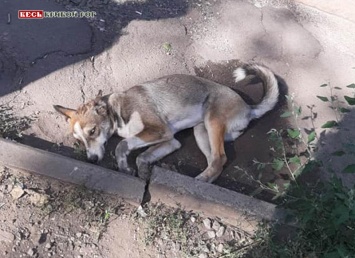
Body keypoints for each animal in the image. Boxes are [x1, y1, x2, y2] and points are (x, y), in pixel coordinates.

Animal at [54, 63, 280, 182]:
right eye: (78, 140)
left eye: (92, 131)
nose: (91, 160)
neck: (118, 110)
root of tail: (249, 108)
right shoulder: (171, 141)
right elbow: (142, 156)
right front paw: (142, 171)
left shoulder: (159, 131)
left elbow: (122, 145)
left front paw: (124, 166)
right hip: (201, 131)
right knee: (217, 162)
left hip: (212, 120)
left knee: (219, 158)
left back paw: (198, 182)